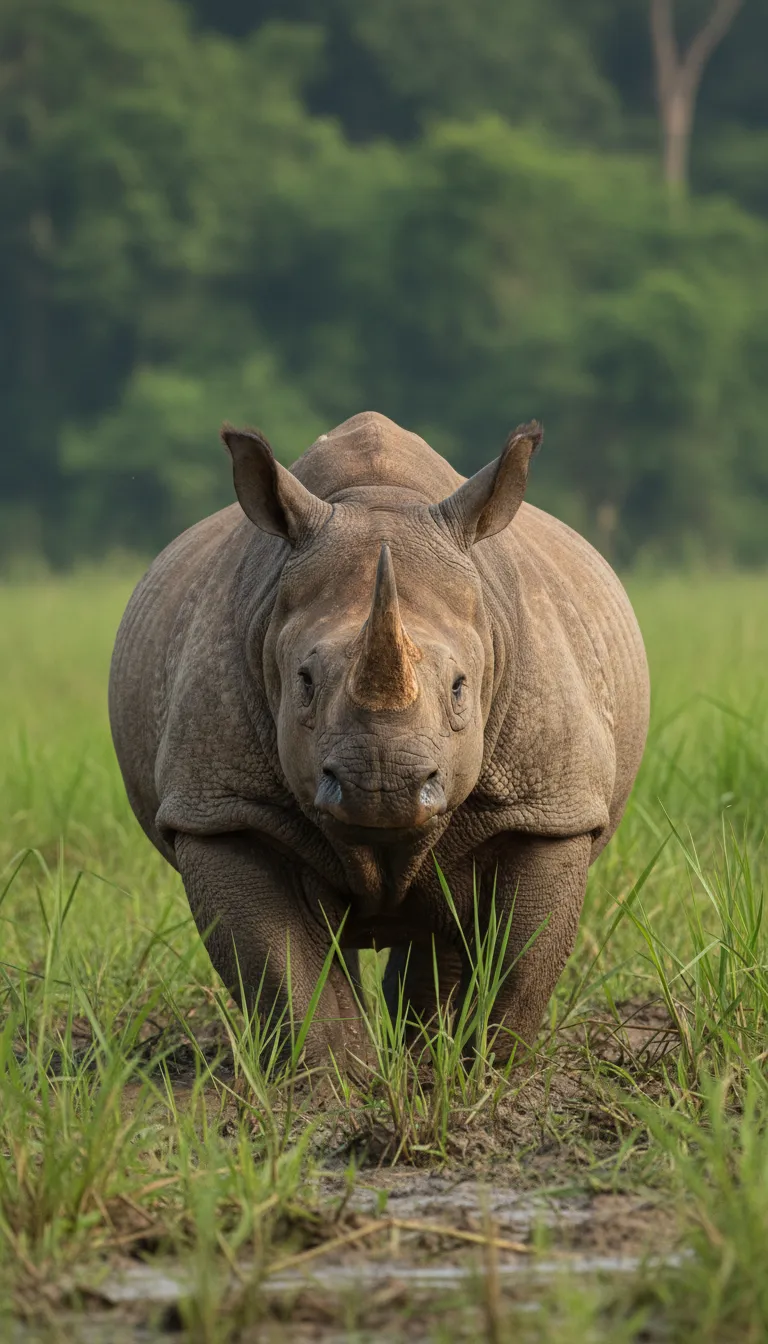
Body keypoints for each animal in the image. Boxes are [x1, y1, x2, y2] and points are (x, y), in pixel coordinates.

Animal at [110, 412, 649, 1067]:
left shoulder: (547, 807)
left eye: (461, 688)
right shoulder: (223, 808)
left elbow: (521, 962)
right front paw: (333, 1079)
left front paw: (486, 1072)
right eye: (304, 682)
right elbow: (281, 968)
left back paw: (422, 1057)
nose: (384, 786)